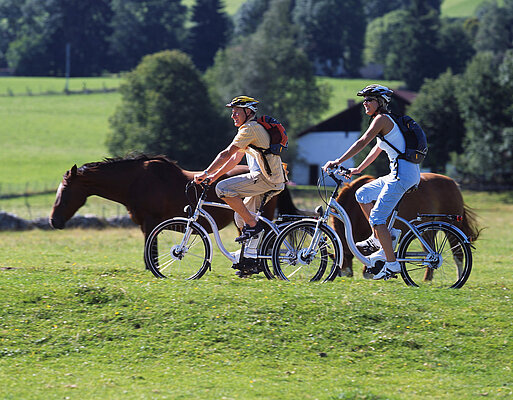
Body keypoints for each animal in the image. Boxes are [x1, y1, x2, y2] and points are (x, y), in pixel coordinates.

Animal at [332, 173, 480, 280]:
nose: (342, 275)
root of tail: (454, 184)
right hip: (429, 232)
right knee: (431, 251)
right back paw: (428, 278)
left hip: (450, 229)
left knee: (457, 254)